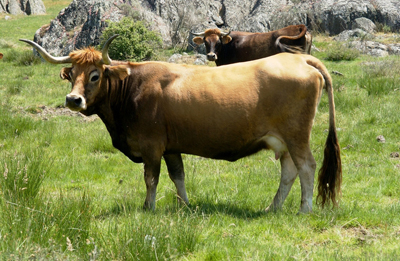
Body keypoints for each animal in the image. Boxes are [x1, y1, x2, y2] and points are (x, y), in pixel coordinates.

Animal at [21, 34, 340, 212]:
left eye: (95, 75)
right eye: (72, 73)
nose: (73, 100)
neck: (132, 87)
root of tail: (300, 60)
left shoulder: (151, 146)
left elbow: (151, 178)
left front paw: (148, 208)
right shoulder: (172, 146)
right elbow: (178, 176)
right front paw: (184, 205)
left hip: (297, 136)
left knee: (306, 167)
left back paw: (304, 209)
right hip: (281, 141)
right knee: (289, 172)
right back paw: (272, 208)